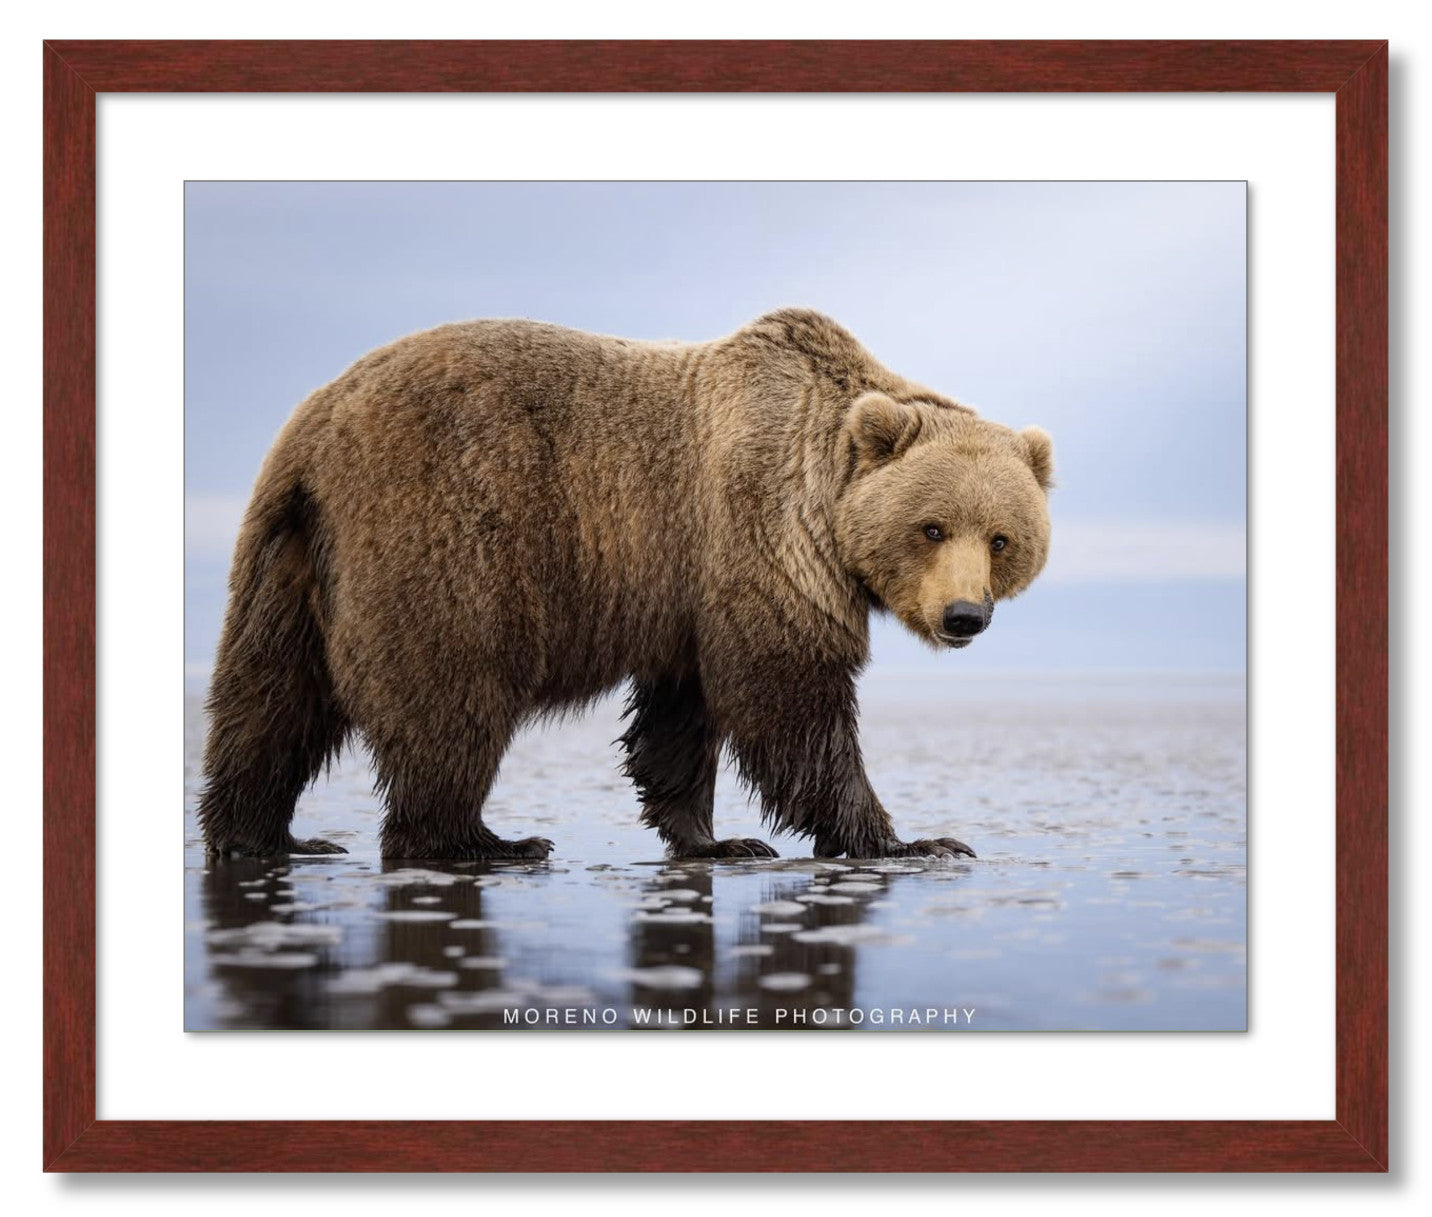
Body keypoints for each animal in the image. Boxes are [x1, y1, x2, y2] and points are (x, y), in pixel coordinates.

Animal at [198, 308, 1054, 862]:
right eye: (932, 527)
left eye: (1002, 538)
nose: (964, 615)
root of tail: (316, 428)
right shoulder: (760, 534)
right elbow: (789, 696)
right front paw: (913, 839)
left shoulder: (686, 589)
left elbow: (682, 714)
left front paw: (716, 838)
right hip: (443, 529)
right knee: (451, 694)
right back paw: (482, 840)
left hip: (289, 558)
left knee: (271, 699)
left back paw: (266, 834)